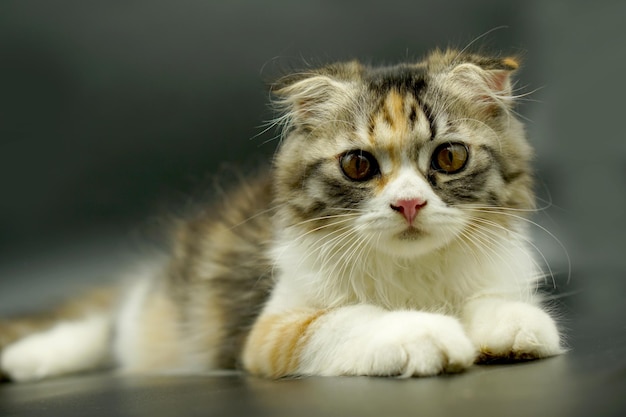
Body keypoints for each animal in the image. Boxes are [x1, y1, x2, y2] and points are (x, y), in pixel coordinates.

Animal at [0, 48, 560, 380]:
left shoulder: (496, 274)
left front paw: (513, 327)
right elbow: (349, 320)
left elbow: (496, 301)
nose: (408, 204)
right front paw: (426, 333)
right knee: (107, 327)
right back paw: (28, 360)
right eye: (358, 165)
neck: (410, 273)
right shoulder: (272, 329)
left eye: (449, 157)